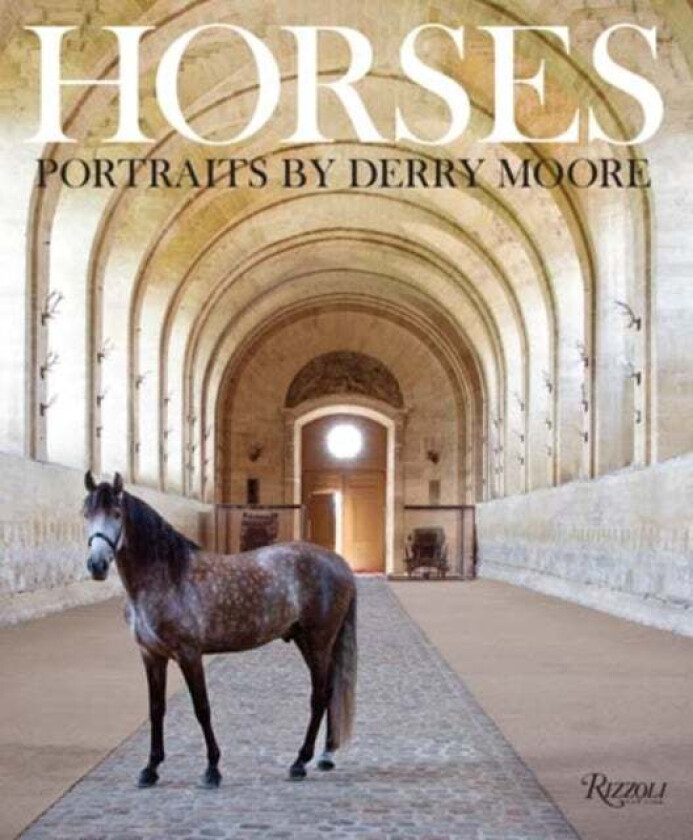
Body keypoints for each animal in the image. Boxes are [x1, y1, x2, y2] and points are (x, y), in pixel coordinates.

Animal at [82, 471, 357, 788]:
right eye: (86, 513)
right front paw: (150, 769)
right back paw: (326, 756)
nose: (97, 565)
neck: (167, 576)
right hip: (309, 641)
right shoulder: (151, 655)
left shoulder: (189, 654)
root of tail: (339, 563)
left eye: (116, 513)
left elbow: (202, 708)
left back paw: (300, 763)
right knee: (329, 693)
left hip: (318, 642)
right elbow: (156, 709)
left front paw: (212, 769)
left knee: (320, 696)